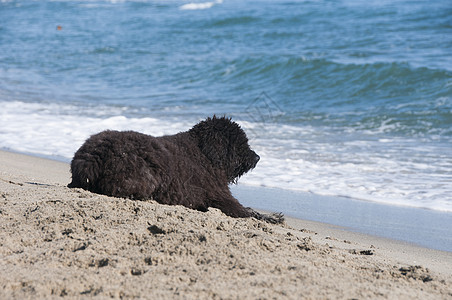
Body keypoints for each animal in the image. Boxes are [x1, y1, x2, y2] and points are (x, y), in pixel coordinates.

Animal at [68, 116, 282, 224]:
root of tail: (89, 157)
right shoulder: (222, 197)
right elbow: (248, 212)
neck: (204, 153)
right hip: (144, 174)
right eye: (241, 144)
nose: (257, 157)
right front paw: (270, 218)